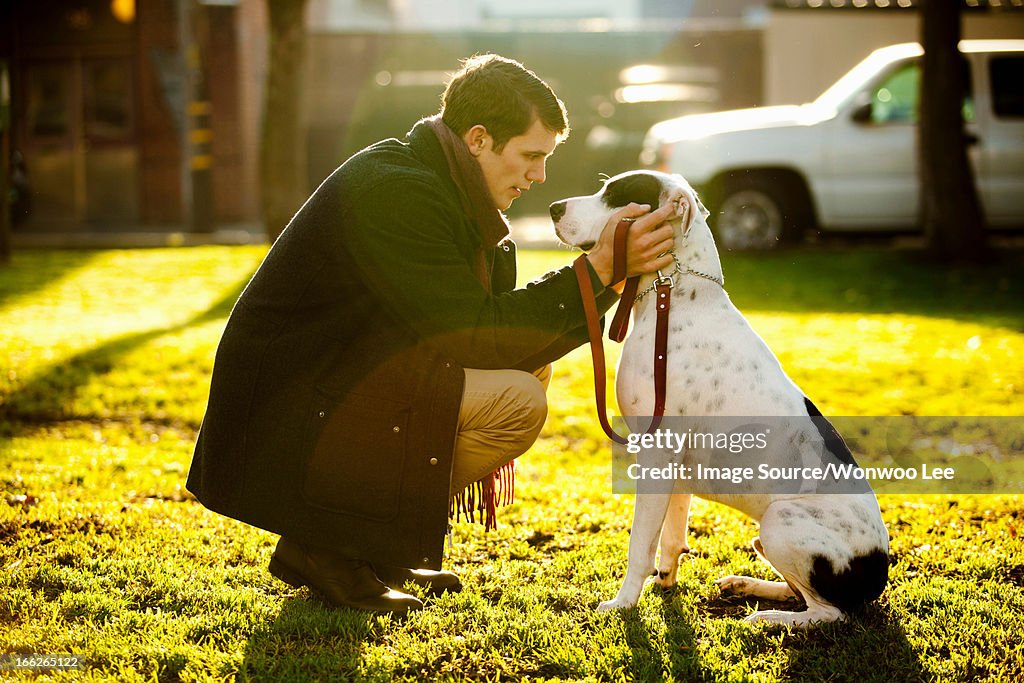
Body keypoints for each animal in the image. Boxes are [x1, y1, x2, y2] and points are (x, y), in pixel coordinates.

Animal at [552, 172, 888, 630]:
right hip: (767, 537)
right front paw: (665, 583)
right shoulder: (674, 465)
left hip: (780, 522)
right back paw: (747, 586)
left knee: (827, 613)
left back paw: (766, 618)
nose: (553, 208)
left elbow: (641, 543)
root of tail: (880, 570)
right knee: (800, 594)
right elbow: (671, 535)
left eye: (615, 195)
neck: (674, 293)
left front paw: (623, 604)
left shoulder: (656, 454)